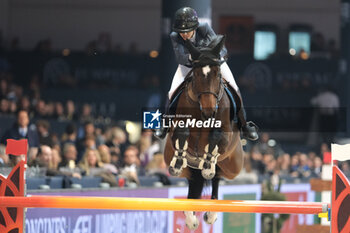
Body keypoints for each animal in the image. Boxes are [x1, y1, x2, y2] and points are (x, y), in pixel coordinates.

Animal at [163, 35, 243, 230]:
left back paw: (211, 213)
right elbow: (182, 133)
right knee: (193, 182)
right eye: (197, 75)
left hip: (233, 166)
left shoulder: (225, 136)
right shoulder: (177, 129)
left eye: (218, 74)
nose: (209, 111)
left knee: (217, 177)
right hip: (180, 163)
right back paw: (190, 218)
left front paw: (208, 163)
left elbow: (216, 137)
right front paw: (178, 161)